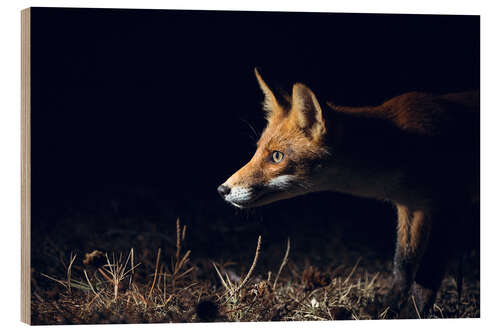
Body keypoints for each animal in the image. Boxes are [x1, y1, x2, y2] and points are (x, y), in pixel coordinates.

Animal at [217, 68, 478, 318]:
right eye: (257, 150)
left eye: (277, 156)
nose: (222, 189)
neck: (399, 150)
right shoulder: (412, 206)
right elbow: (402, 266)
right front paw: (388, 310)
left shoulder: (448, 207)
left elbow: (427, 275)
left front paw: (413, 315)